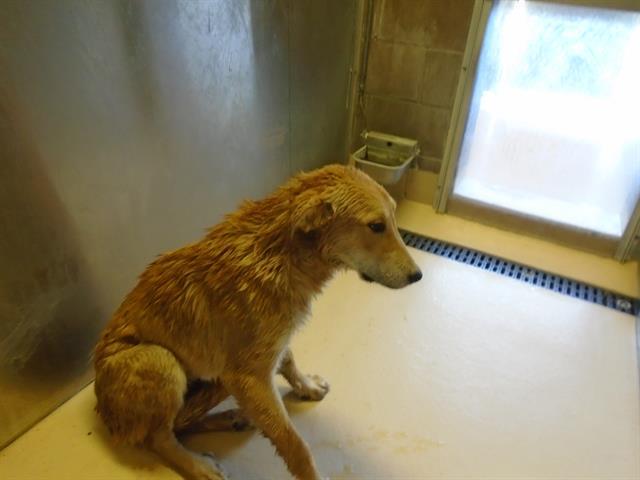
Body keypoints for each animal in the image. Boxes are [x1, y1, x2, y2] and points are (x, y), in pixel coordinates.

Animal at [92, 163, 422, 478]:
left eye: (394, 221)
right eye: (376, 226)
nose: (418, 276)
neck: (281, 257)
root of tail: (103, 414)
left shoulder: (272, 346)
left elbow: (289, 361)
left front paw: (306, 386)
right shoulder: (248, 378)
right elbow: (295, 445)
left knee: (181, 423)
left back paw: (229, 418)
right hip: (161, 360)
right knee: (159, 437)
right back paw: (199, 466)